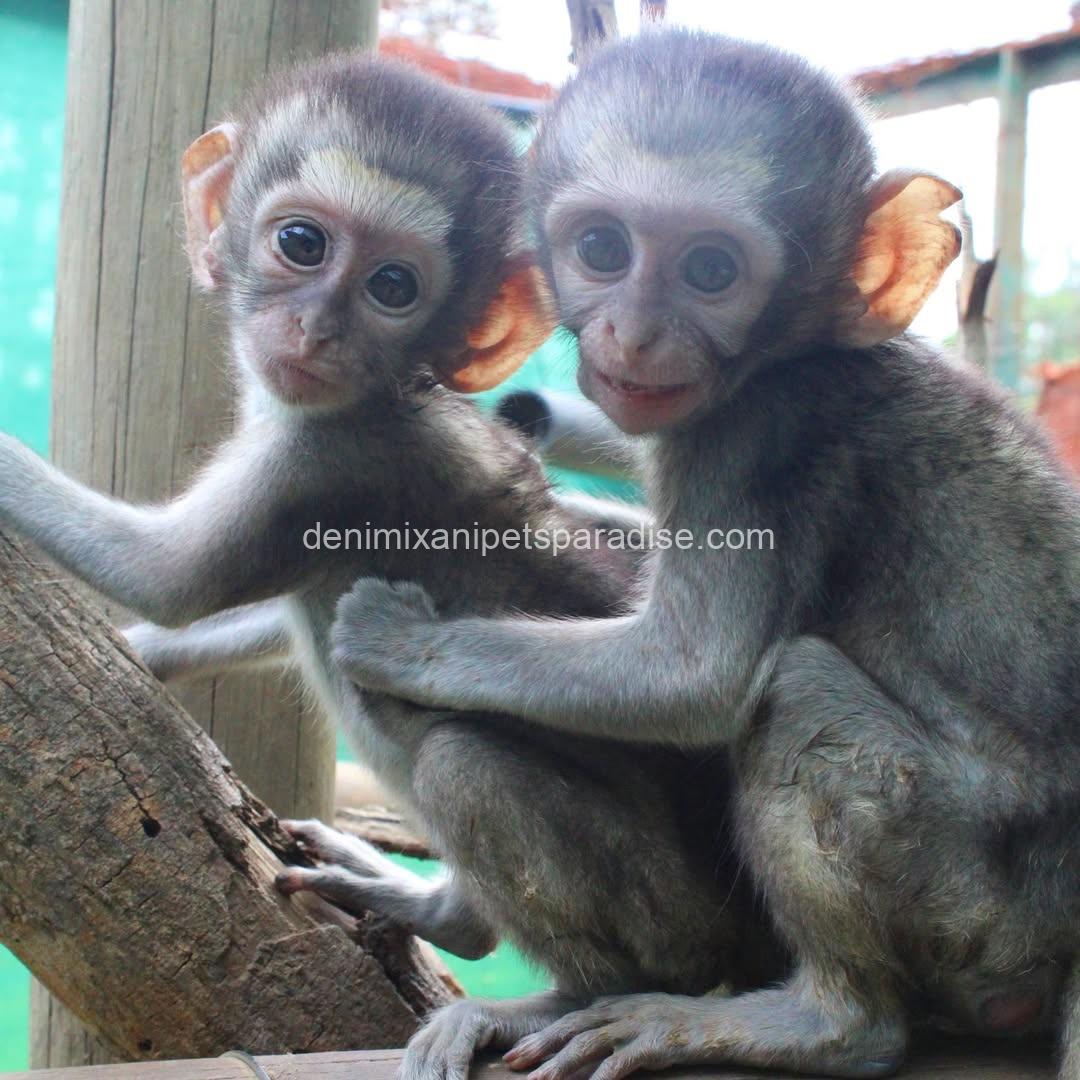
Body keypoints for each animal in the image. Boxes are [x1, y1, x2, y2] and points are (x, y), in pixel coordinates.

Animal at [0, 50, 783, 1080]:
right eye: (300, 243)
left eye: (394, 287)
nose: (316, 330)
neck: (391, 392)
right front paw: (144, 654)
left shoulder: (325, 460)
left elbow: (174, 578)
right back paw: (442, 911)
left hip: (676, 920)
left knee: (459, 758)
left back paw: (559, 992)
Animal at [329, 29, 1080, 1080]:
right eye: (604, 249)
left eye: (713, 270)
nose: (636, 334)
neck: (800, 350)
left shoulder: (757, 430)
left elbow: (700, 674)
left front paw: (402, 640)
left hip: (983, 902)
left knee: (790, 690)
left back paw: (823, 1021)